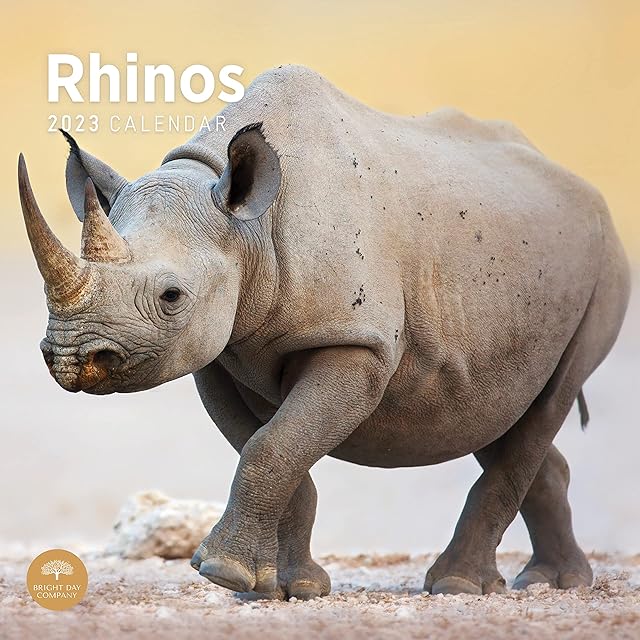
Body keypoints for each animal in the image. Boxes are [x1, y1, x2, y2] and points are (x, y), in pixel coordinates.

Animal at [19, 65, 630, 599]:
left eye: (172, 297)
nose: (72, 357)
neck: (248, 227)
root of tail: (584, 189)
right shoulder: (219, 353)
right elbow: (274, 448)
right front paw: (282, 588)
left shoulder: (357, 341)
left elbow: (273, 446)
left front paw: (220, 573)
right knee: (496, 412)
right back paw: (553, 582)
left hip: (604, 265)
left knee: (549, 401)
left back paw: (460, 586)